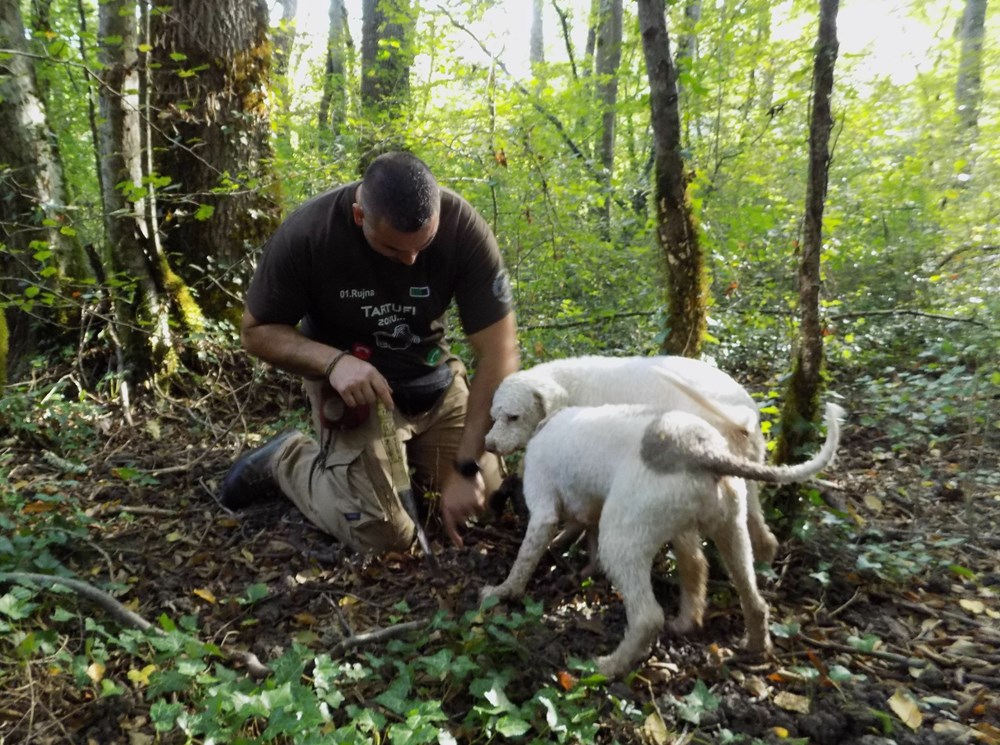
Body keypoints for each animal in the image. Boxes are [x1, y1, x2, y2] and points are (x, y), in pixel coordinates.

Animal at [476, 404, 844, 676]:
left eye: (510, 416)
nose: (488, 445)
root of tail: (700, 450)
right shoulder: (592, 508)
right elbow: (587, 537)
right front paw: (585, 568)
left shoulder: (542, 510)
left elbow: (525, 560)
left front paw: (501, 591)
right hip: (728, 530)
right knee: (744, 594)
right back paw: (747, 644)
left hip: (622, 538)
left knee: (647, 616)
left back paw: (609, 666)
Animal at [484, 358, 780, 560]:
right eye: (494, 417)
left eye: (514, 417)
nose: (488, 445)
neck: (568, 386)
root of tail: (743, 413)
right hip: (746, 475)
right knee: (760, 529)